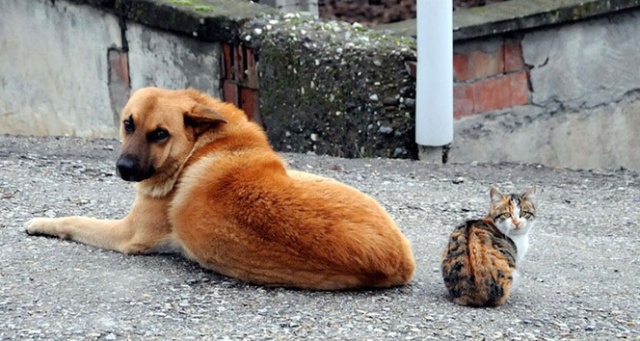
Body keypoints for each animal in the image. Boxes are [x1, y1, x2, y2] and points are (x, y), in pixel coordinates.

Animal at [23, 86, 416, 288]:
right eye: (128, 124)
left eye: (160, 134)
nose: (124, 169)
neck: (201, 144)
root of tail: (400, 261)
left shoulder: (127, 234)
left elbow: (75, 220)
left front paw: (41, 222)